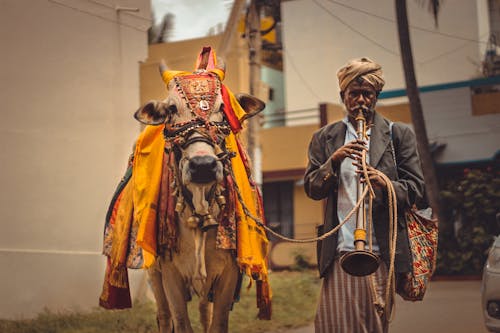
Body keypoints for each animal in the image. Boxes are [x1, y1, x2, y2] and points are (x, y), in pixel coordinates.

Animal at [99, 47, 272, 332]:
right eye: (171, 108)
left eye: (222, 108)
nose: (202, 165)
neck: (199, 210)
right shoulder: (170, 274)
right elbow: (180, 321)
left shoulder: (227, 275)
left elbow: (217, 323)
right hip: (153, 273)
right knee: (164, 316)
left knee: (203, 312)